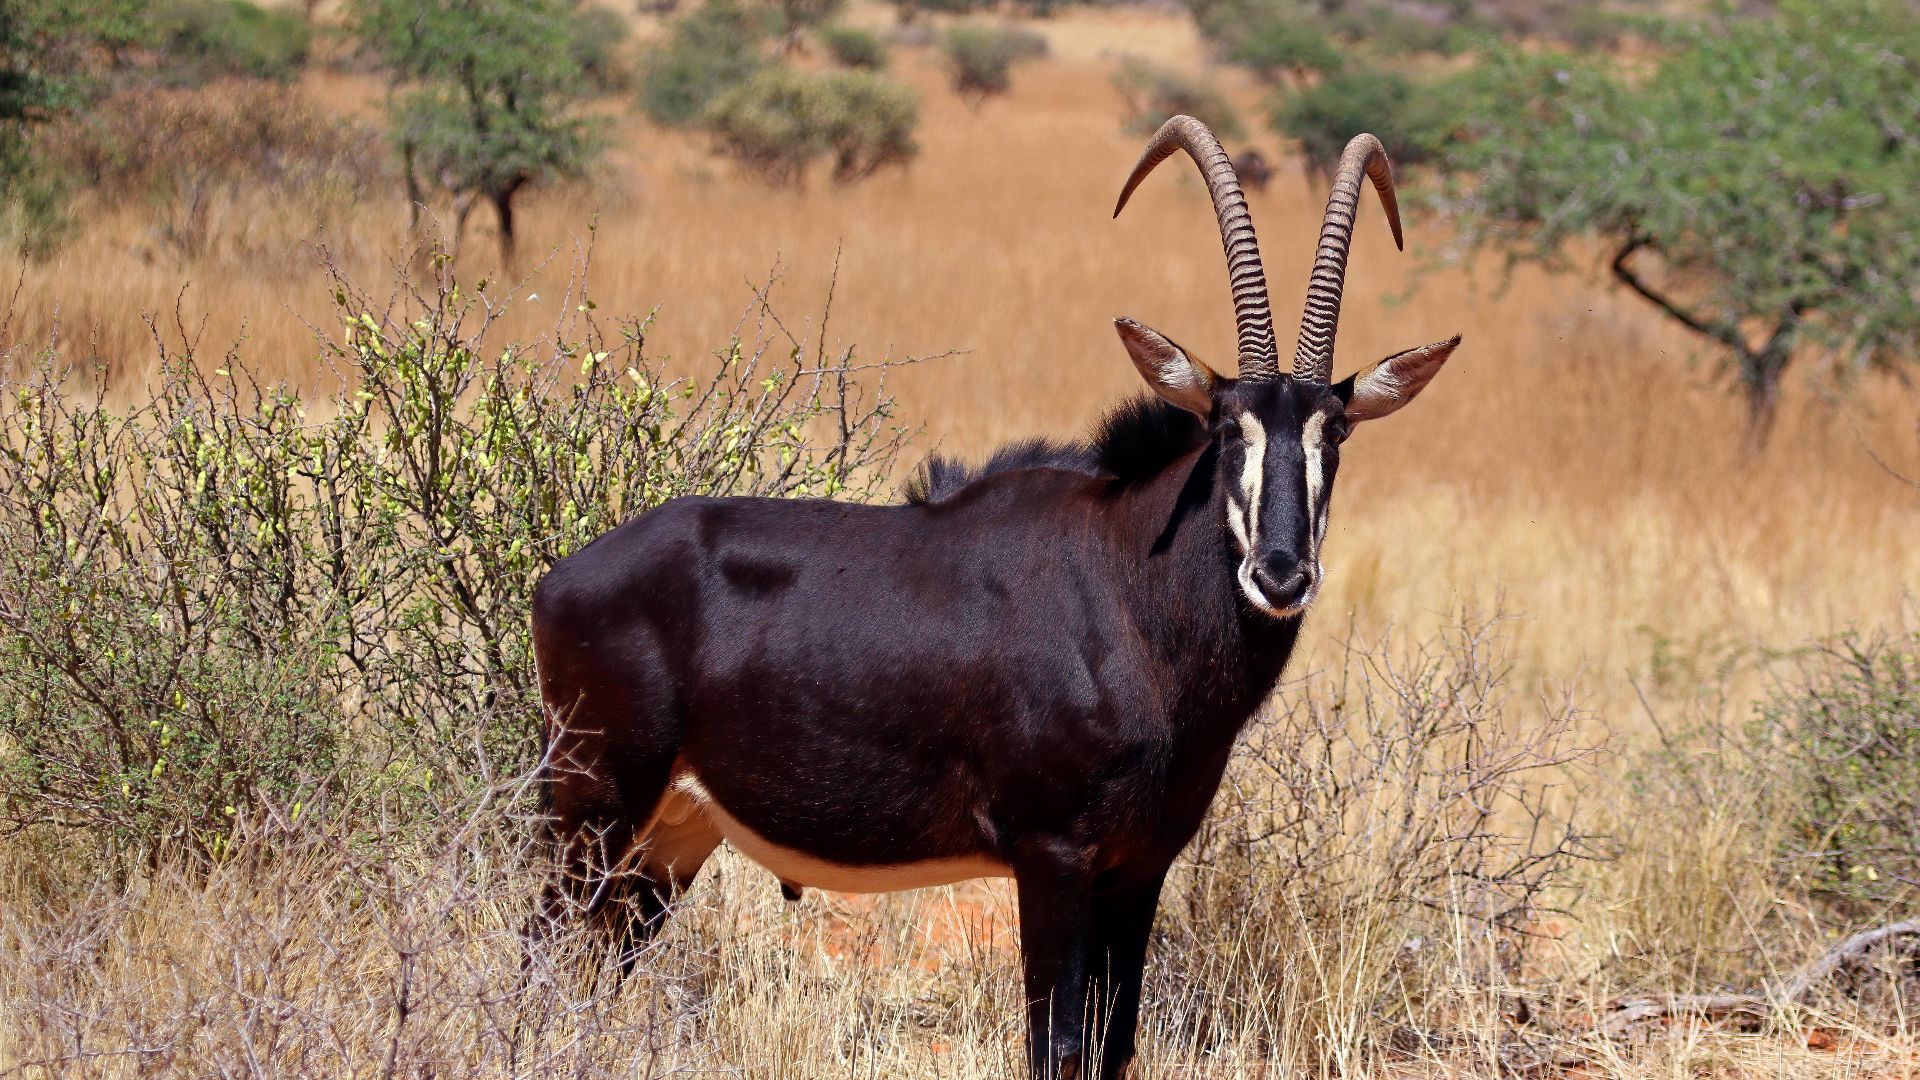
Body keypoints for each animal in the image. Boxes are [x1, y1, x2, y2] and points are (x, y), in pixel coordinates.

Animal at [531, 116, 1460, 1079]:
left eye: (1334, 432)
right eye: (1225, 425)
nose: (1280, 574)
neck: (1128, 590)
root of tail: (562, 578)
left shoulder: (1139, 868)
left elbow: (1113, 1043)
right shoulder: (1053, 857)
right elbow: (1056, 1046)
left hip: (671, 836)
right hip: (595, 807)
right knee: (545, 958)